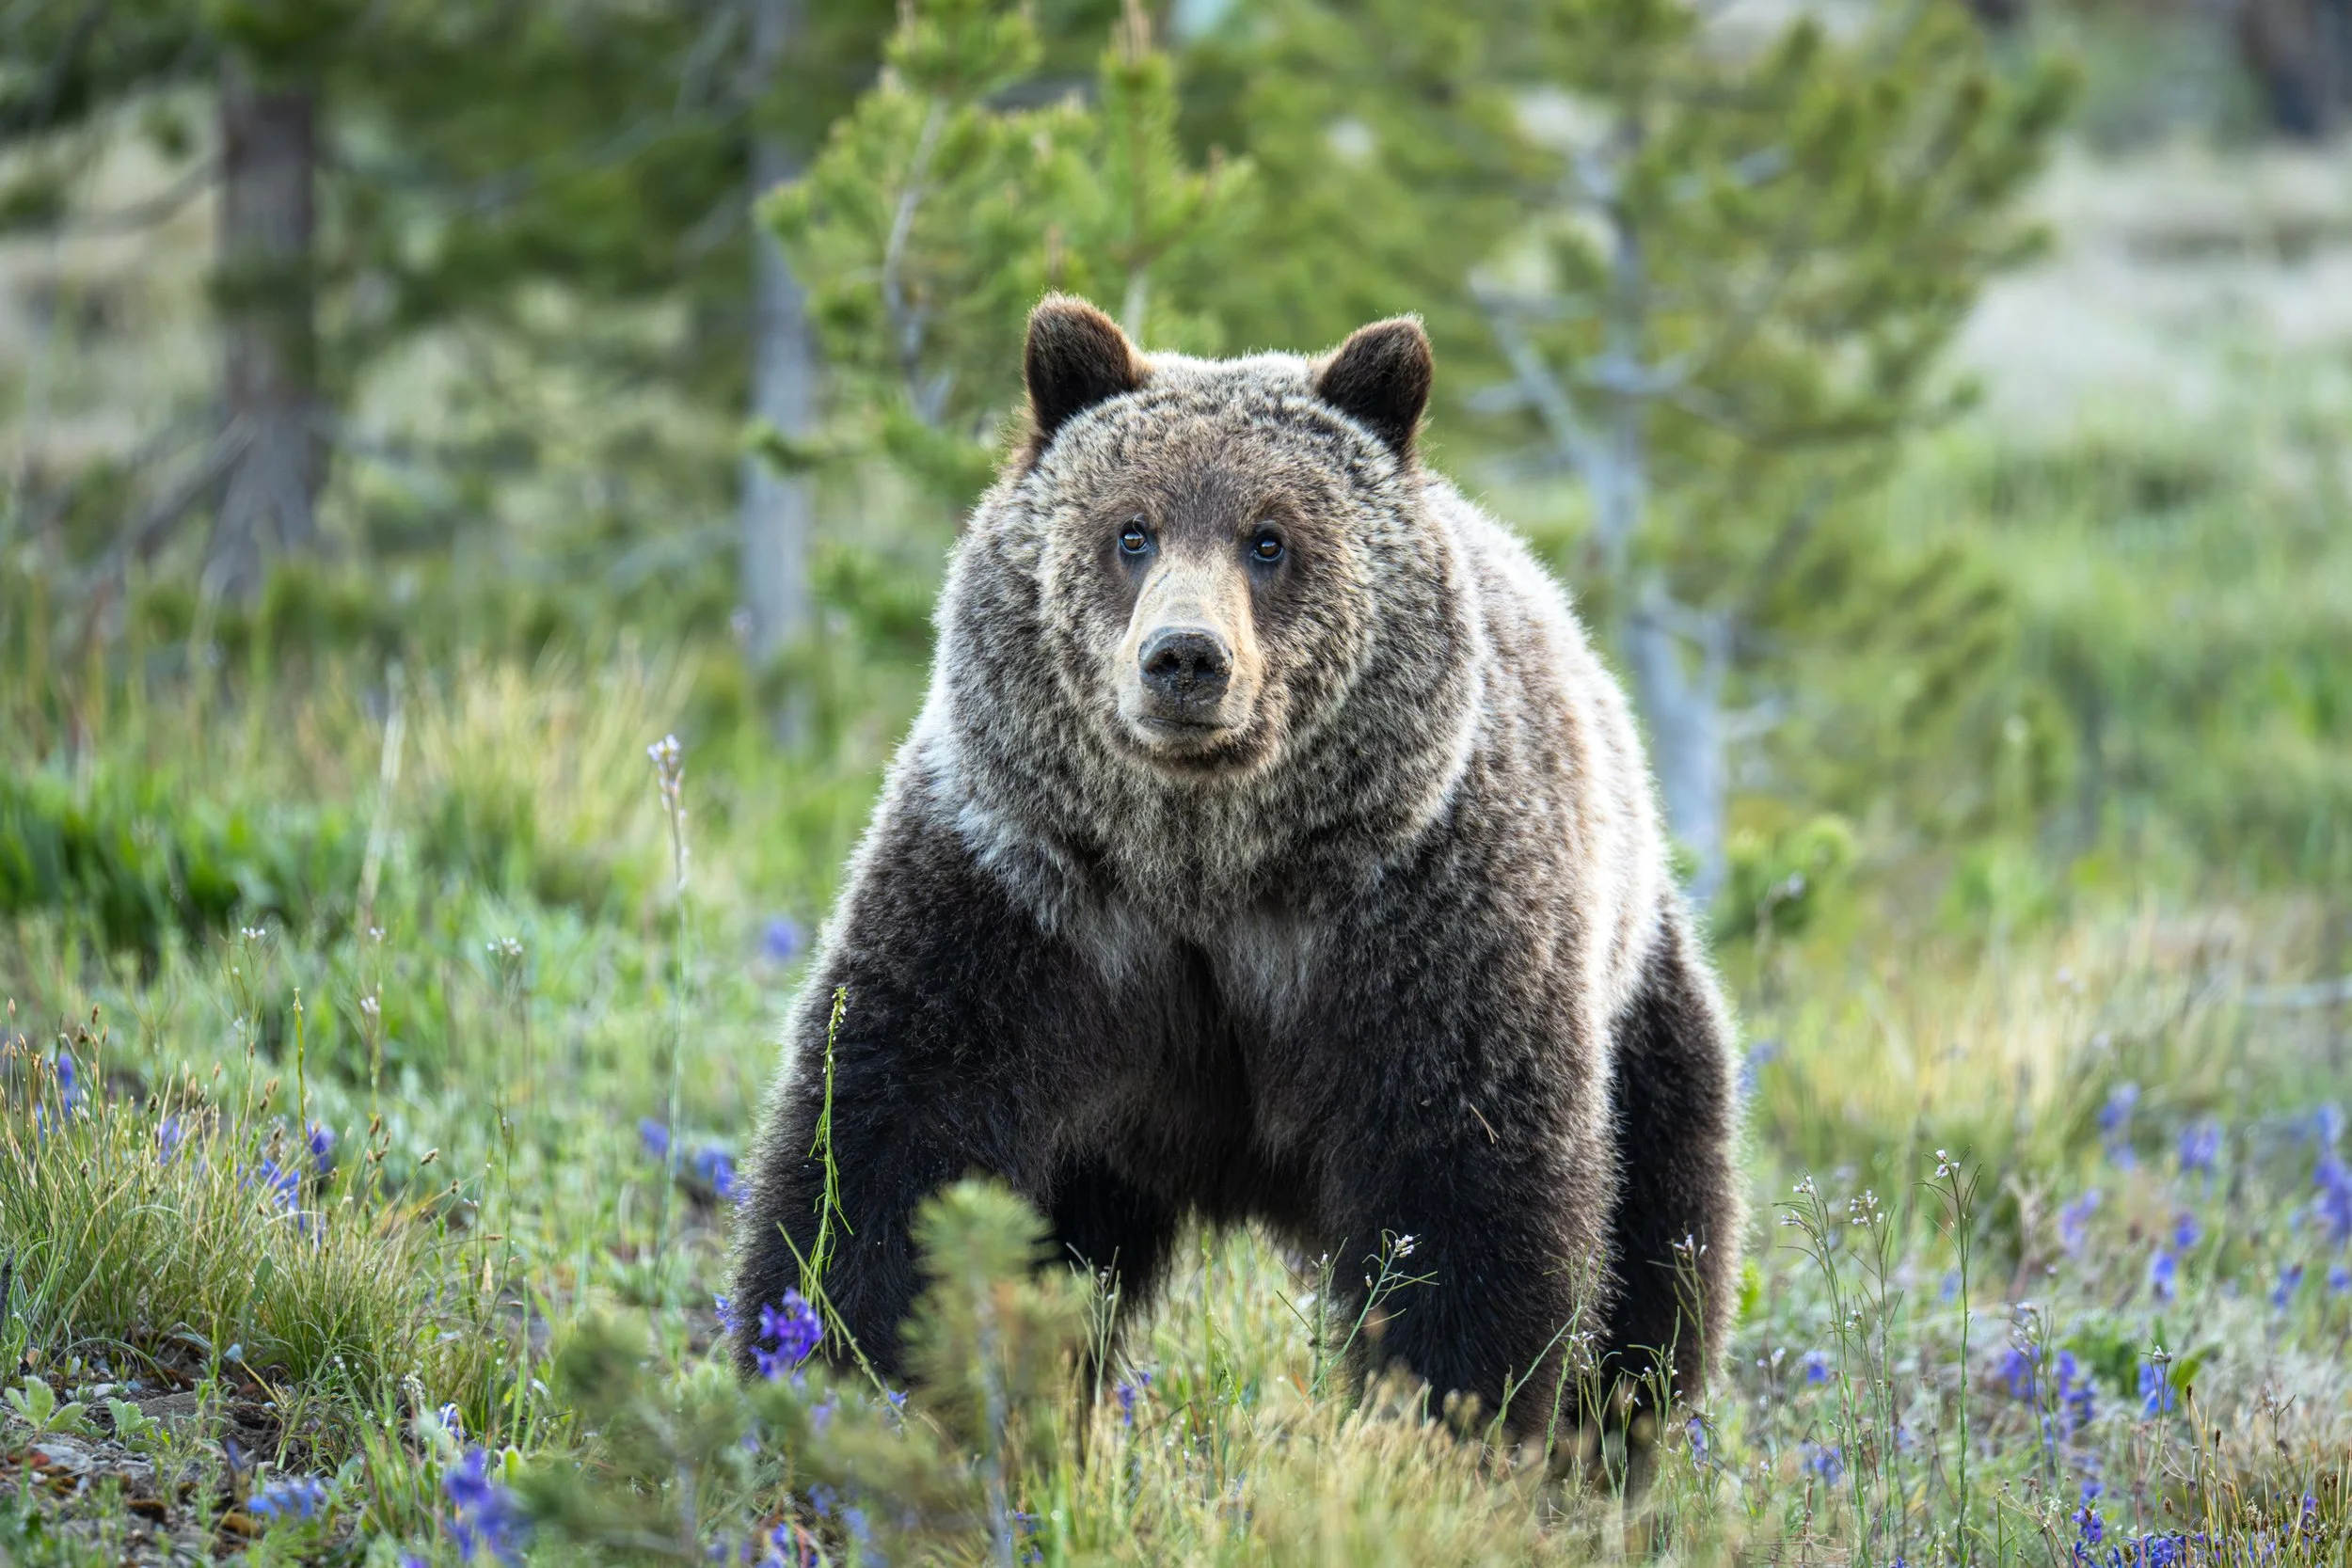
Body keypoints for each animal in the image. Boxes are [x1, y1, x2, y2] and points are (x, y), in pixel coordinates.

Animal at [732, 296, 1743, 1437]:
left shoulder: (1424, 919)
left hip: (1645, 1023)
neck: (1207, 869)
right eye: (1131, 530)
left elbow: (1469, 1195)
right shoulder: (1026, 894)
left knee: (1659, 1276)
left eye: (1270, 538)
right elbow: (885, 1143)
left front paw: (1436, 1427)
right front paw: (833, 1375)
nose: (1184, 656)